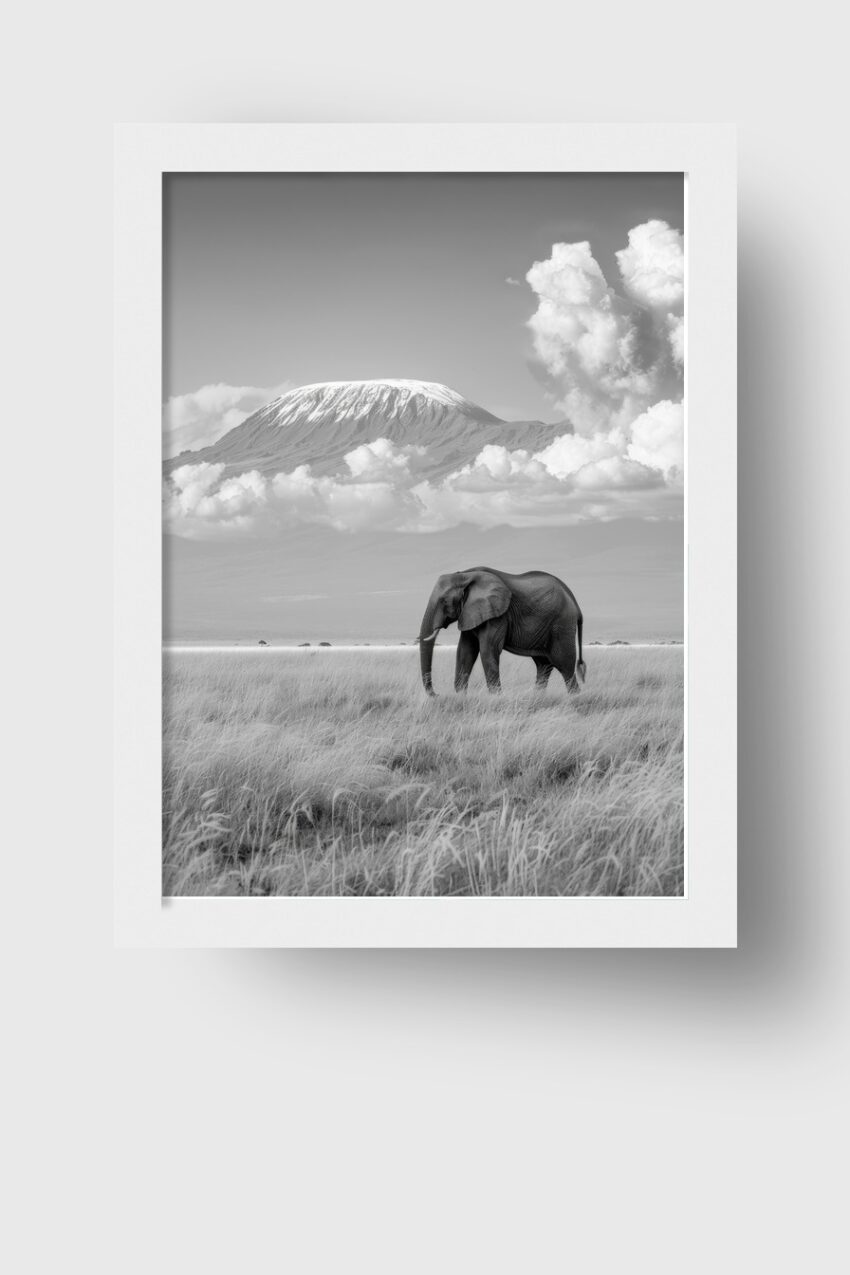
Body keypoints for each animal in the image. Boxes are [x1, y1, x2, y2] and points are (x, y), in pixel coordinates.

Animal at [418, 567, 586, 696]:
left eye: (444, 601)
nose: (437, 694)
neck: (464, 575)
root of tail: (574, 602)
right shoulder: (470, 612)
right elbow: (465, 651)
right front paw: (461, 697)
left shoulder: (497, 615)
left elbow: (488, 650)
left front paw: (496, 698)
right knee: (543, 665)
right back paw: (538, 697)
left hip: (562, 624)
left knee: (564, 664)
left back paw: (574, 698)